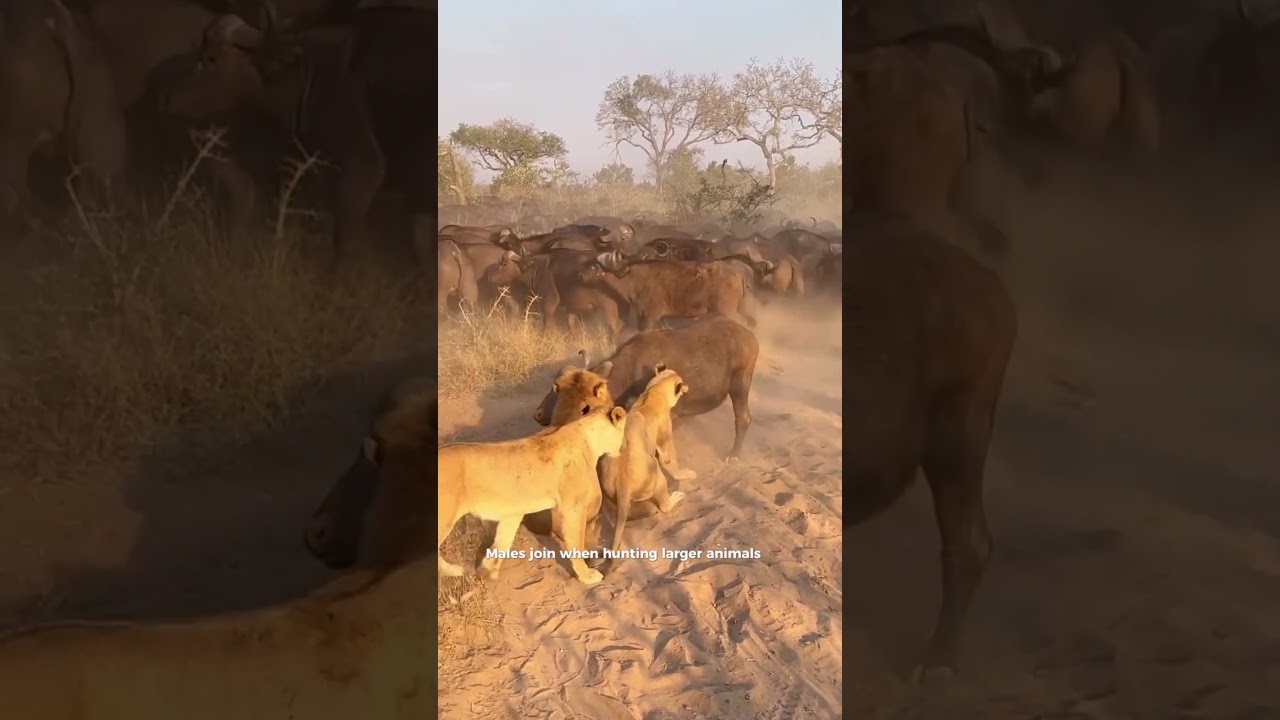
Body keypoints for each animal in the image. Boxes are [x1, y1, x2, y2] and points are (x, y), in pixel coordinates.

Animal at [438, 405, 628, 585]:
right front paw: (586, 575)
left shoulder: (514, 510)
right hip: (443, 518)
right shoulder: (573, 508)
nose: (621, 450)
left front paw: (490, 568)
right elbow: (577, 544)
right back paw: (454, 570)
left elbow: (503, 540)